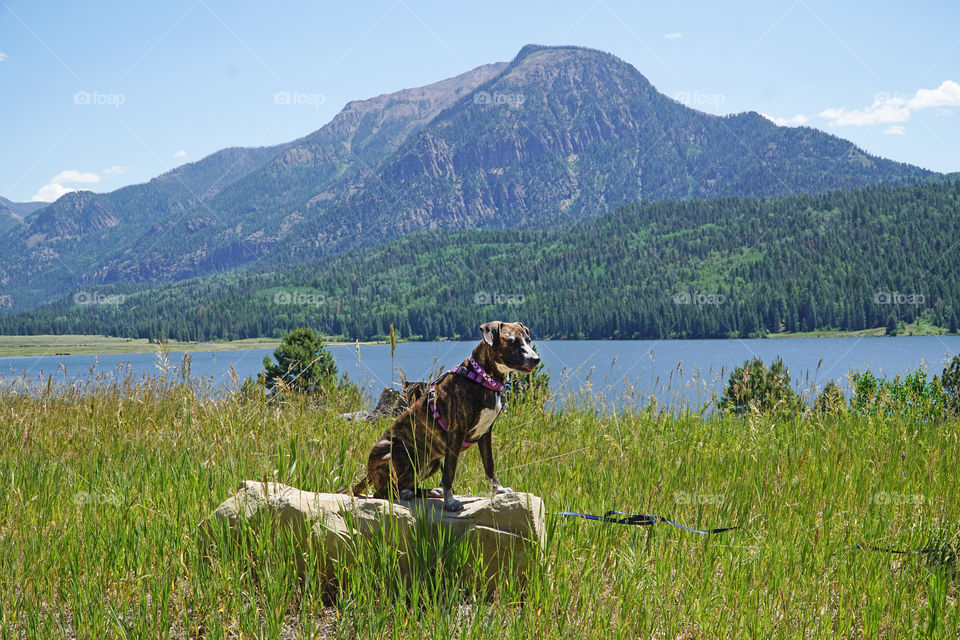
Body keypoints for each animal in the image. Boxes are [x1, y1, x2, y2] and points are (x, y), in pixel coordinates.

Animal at [348, 322, 540, 512]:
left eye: (528, 340)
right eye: (512, 341)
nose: (536, 359)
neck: (482, 378)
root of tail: (368, 472)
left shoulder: (486, 433)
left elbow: (489, 465)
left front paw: (499, 489)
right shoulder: (456, 434)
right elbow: (449, 473)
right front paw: (450, 502)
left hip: (430, 462)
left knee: (406, 485)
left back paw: (427, 491)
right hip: (400, 452)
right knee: (380, 492)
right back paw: (403, 494)